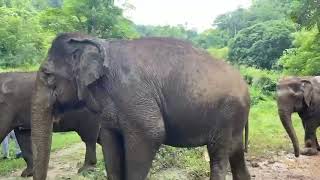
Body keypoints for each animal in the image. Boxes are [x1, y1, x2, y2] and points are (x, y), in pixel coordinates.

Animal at [31, 32, 251, 180]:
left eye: (47, 74)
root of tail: (246, 87)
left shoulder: (133, 93)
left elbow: (151, 134)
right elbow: (110, 143)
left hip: (226, 114)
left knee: (219, 155)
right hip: (235, 118)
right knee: (236, 153)